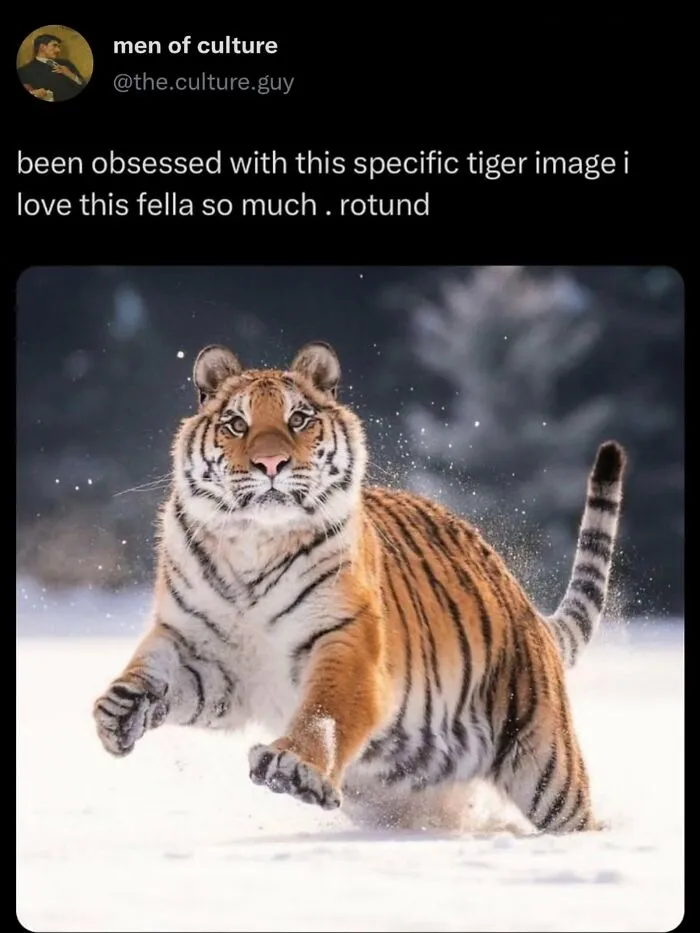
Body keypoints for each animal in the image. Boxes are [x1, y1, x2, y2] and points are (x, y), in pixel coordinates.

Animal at [93, 340, 626, 835]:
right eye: (237, 424)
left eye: (299, 418)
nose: (271, 463)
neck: (254, 543)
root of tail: (526, 608)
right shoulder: (205, 653)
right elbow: (150, 671)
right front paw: (118, 713)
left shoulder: (346, 640)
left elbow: (324, 712)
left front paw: (292, 767)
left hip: (546, 768)